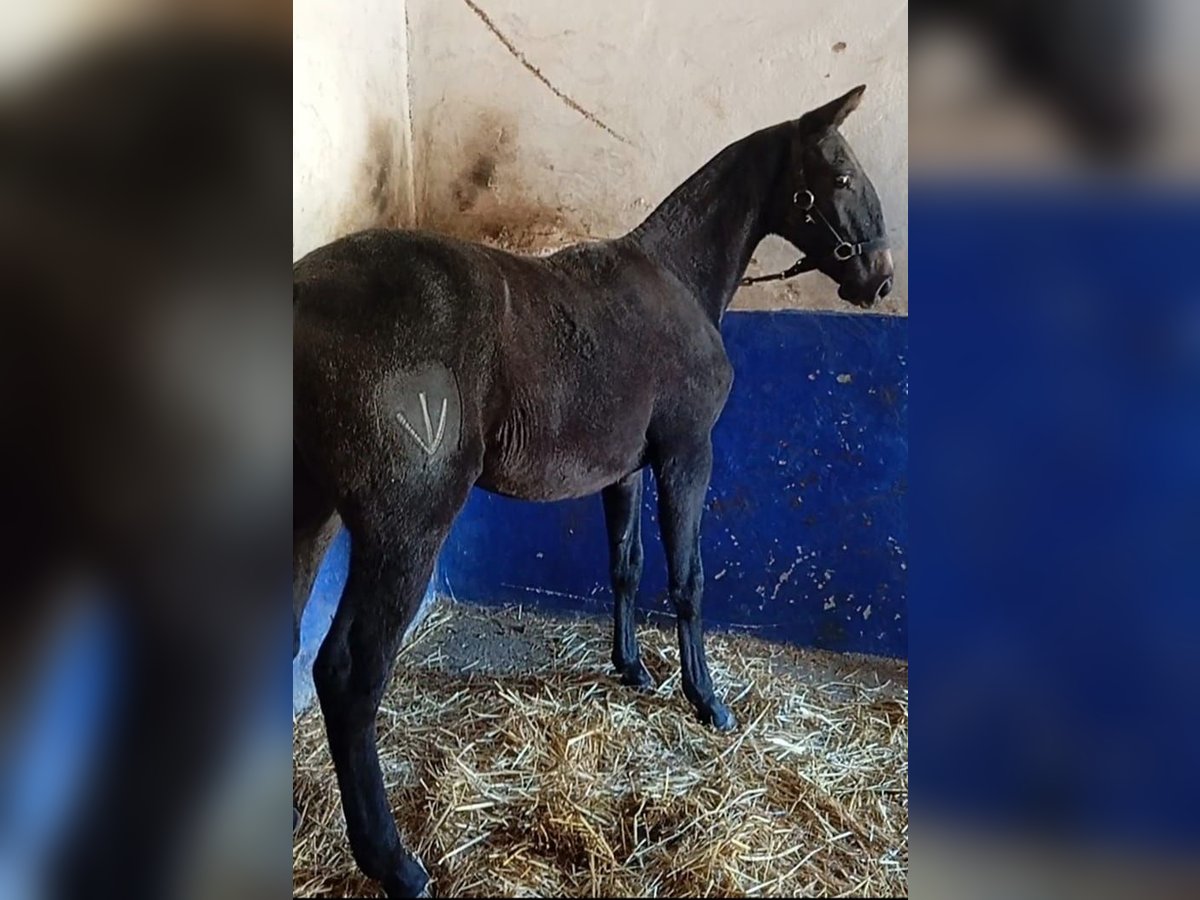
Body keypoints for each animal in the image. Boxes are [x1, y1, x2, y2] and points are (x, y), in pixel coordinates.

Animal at [291, 82, 892, 897]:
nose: (879, 277)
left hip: (312, 518)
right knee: (349, 674)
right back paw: (396, 864)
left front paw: (632, 668)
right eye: (837, 174)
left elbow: (626, 566)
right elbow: (688, 579)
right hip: (403, 536)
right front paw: (707, 701)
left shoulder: (625, 472)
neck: (677, 281)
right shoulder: (686, 456)